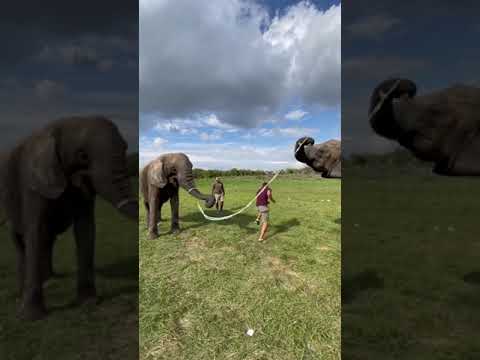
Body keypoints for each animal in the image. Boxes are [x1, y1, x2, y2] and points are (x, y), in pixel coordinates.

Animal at [0, 115, 139, 320]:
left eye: (125, 147)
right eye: (83, 155)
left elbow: (85, 229)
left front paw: (89, 302)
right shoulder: (33, 182)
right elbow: (34, 230)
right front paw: (30, 317)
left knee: (47, 239)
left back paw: (49, 279)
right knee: (21, 241)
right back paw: (22, 292)